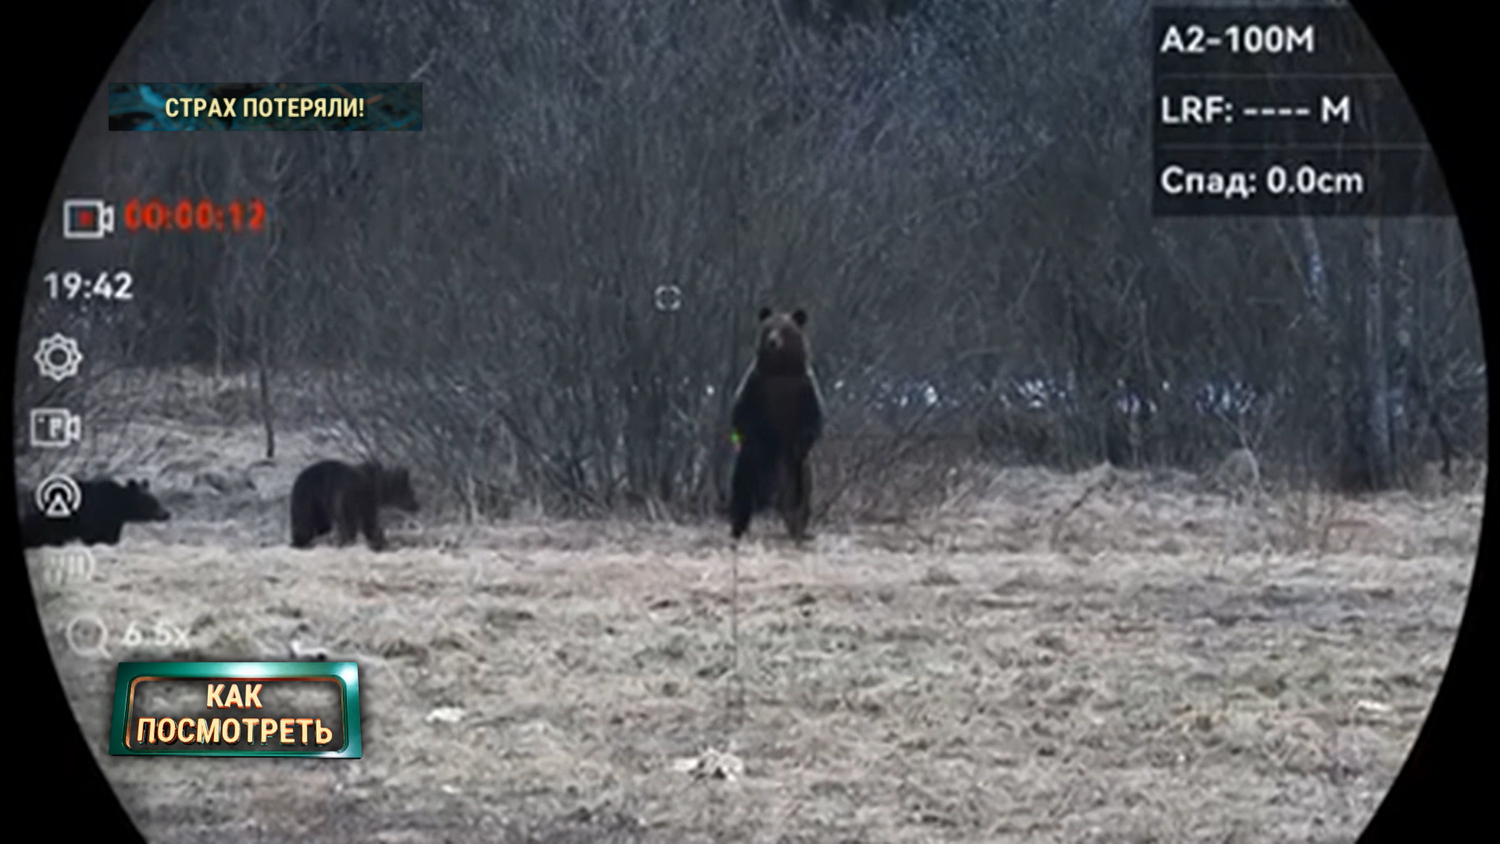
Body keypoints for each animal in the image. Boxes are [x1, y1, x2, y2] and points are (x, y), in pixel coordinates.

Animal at [20, 477, 171, 548]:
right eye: (151, 502)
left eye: (156, 499)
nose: (166, 514)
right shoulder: (93, 518)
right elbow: (93, 537)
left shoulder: (113, 523)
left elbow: (110, 538)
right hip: (50, 521)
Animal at [290, 460, 419, 552]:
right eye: (412, 492)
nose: (417, 505)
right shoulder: (363, 499)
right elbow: (368, 522)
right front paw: (379, 540)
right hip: (321, 499)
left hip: (309, 503)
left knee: (312, 524)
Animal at [728, 307, 825, 541]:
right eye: (769, 328)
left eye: (785, 329)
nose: (773, 342)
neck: (780, 370)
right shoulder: (756, 386)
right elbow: (741, 416)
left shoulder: (804, 390)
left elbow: (812, 423)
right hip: (747, 470)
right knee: (741, 497)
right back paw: (737, 530)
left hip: (798, 475)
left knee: (800, 502)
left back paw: (799, 532)